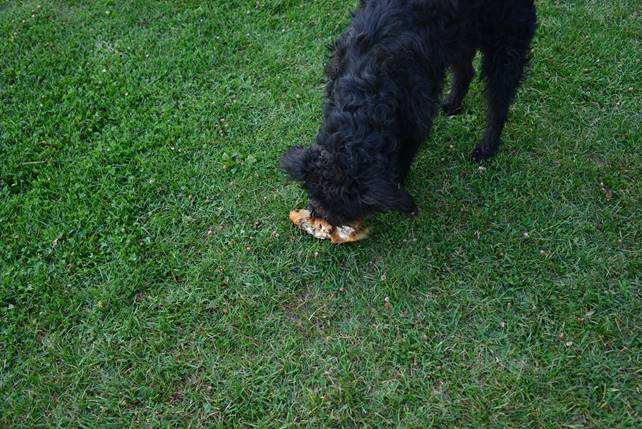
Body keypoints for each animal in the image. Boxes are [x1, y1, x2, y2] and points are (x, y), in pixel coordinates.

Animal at [280, 0, 536, 226]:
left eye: (343, 211)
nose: (320, 217)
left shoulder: (415, 115)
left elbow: (404, 156)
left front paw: (399, 186)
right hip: (459, 36)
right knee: (466, 71)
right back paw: (452, 104)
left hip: (506, 38)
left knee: (499, 100)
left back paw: (487, 146)